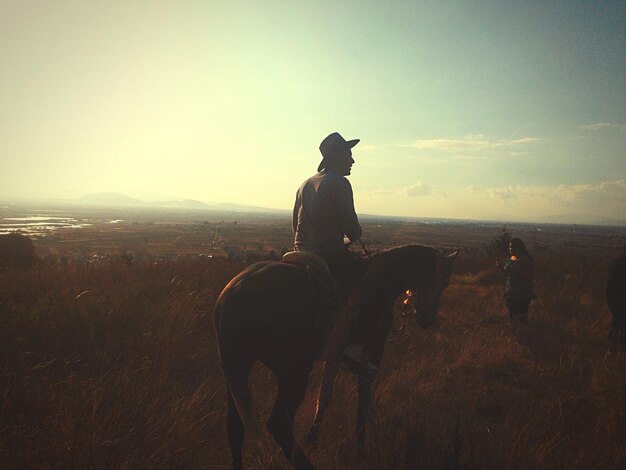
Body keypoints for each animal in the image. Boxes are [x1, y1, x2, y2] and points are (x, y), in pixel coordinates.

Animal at [212, 244, 456, 470]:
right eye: (445, 282)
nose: (427, 319)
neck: (381, 281)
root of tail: (234, 293)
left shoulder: (334, 356)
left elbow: (324, 397)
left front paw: (313, 439)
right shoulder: (373, 355)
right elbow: (363, 404)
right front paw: (361, 450)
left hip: (236, 370)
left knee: (235, 427)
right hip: (293, 371)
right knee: (279, 423)